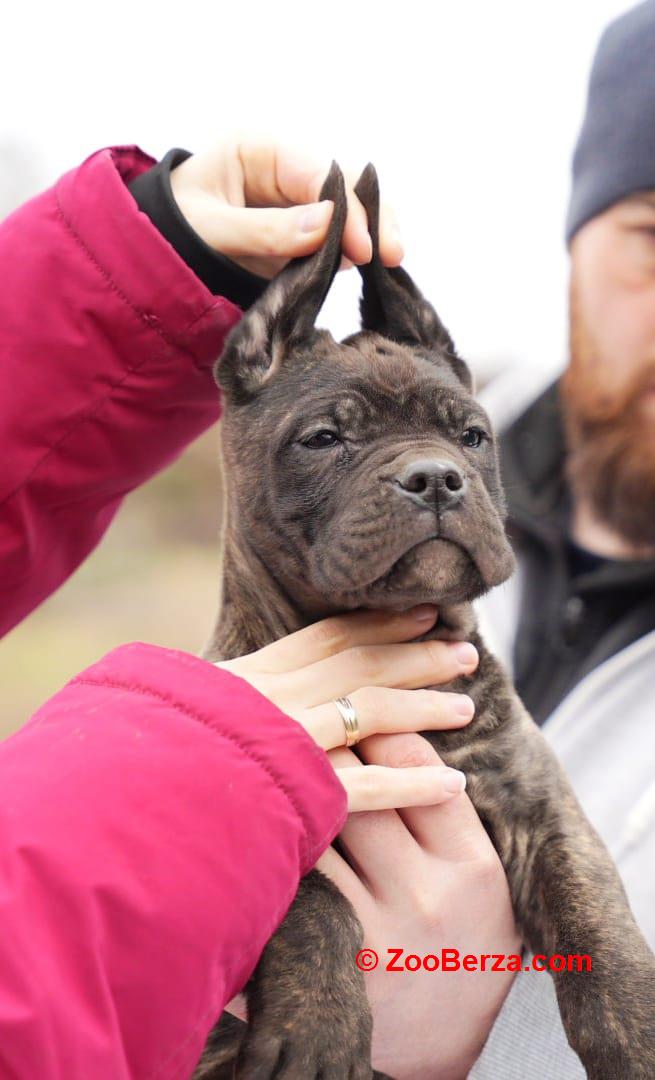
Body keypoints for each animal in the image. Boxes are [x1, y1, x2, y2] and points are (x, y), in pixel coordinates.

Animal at [193, 162, 655, 1080]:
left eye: (473, 436)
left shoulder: (542, 808)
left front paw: (641, 1028)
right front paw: (319, 1026)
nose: (435, 478)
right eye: (323, 439)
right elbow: (311, 897)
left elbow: (598, 921)